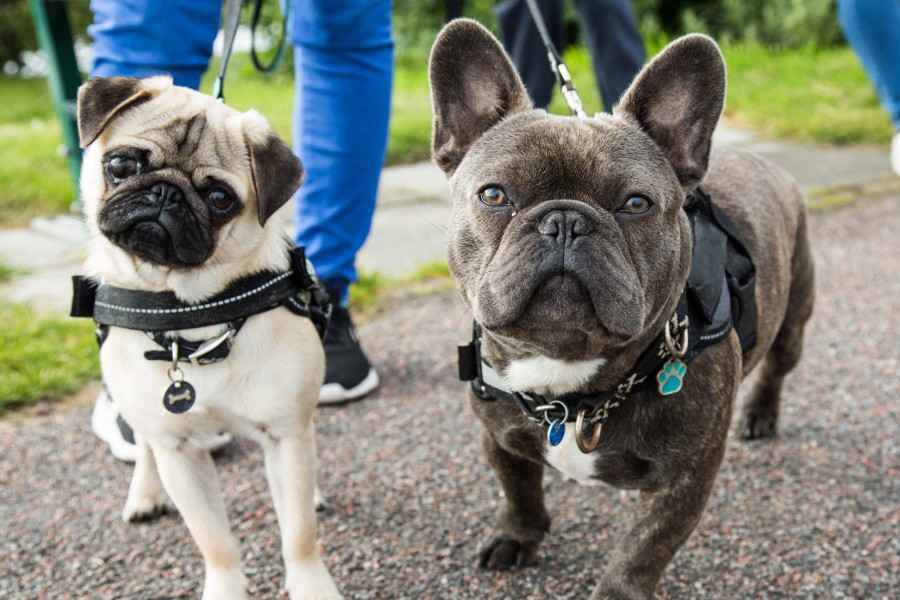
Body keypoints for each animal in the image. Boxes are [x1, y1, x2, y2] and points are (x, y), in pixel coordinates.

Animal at [428, 19, 816, 600]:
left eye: (636, 204)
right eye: (494, 195)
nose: (565, 221)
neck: (569, 388)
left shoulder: (684, 480)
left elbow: (642, 551)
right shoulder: (498, 438)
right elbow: (518, 491)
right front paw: (517, 535)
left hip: (794, 316)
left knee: (777, 366)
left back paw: (761, 414)